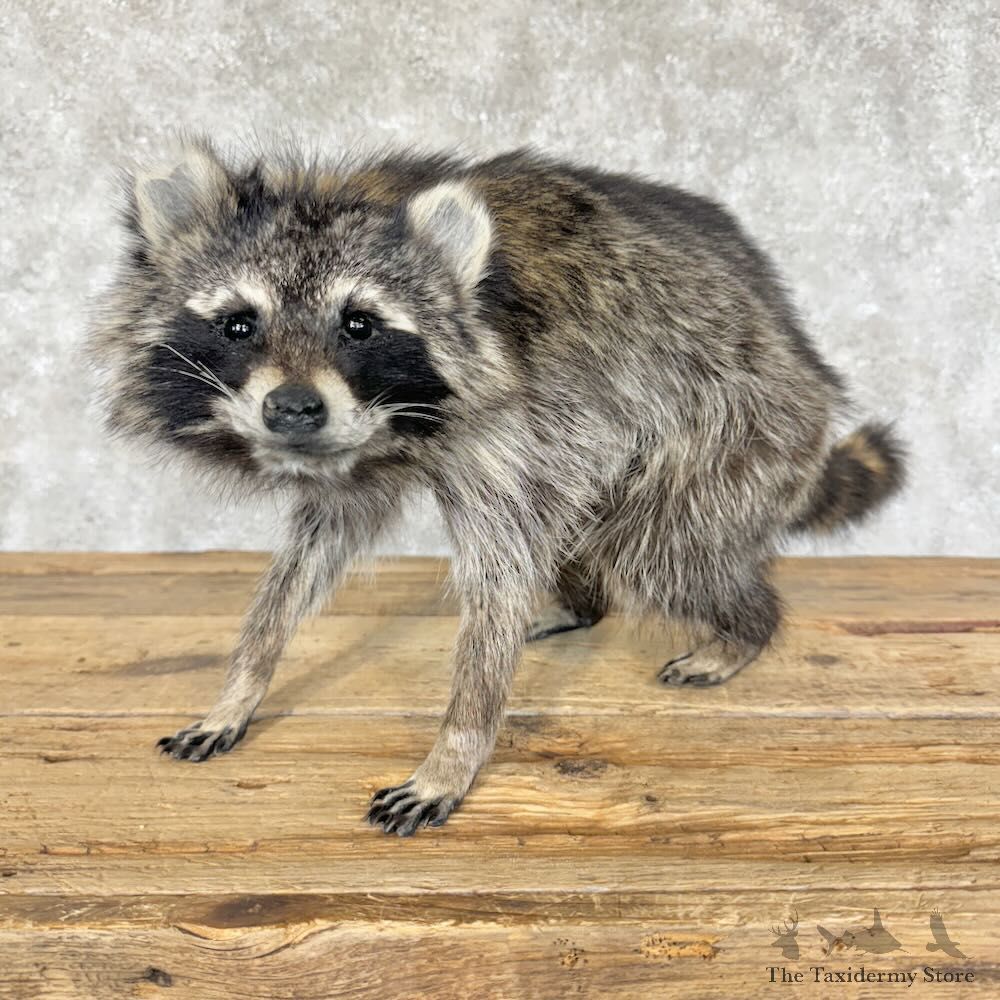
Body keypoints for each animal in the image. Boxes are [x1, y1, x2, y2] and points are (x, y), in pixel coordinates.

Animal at [89, 138, 904, 836]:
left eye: (360, 324)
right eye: (238, 324)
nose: (292, 409)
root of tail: (806, 365)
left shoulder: (515, 421)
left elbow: (497, 578)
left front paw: (457, 745)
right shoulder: (360, 457)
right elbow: (308, 560)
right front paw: (245, 676)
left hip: (733, 427)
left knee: (658, 550)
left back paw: (743, 629)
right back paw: (582, 599)